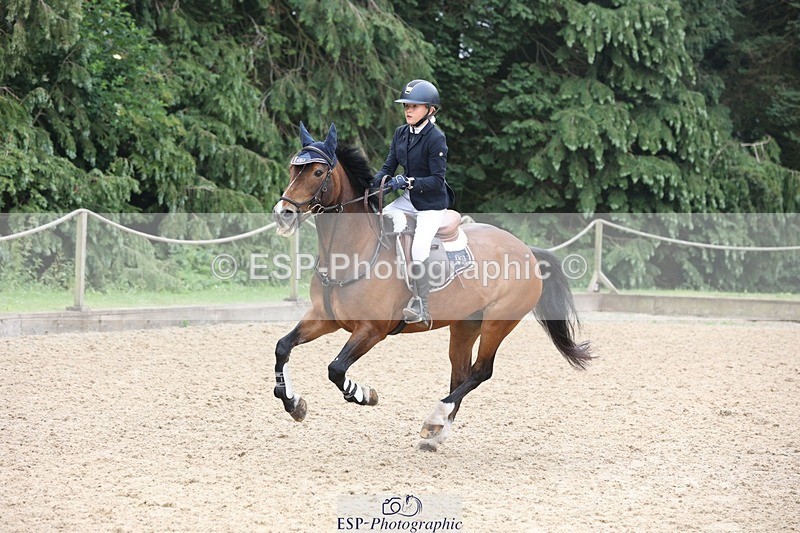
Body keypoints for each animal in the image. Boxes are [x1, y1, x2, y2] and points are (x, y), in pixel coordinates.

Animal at [272, 123, 592, 450]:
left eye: (318, 173)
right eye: (292, 169)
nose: (283, 214)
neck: (354, 248)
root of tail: (526, 250)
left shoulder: (371, 329)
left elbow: (336, 369)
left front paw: (364, 394)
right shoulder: (325, 318)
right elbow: (282, 347)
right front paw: (293, 403)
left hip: (498, 323)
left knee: (480, 371)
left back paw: (435, 418)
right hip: (465, 324)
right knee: (460, 372)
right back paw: (437, 433)